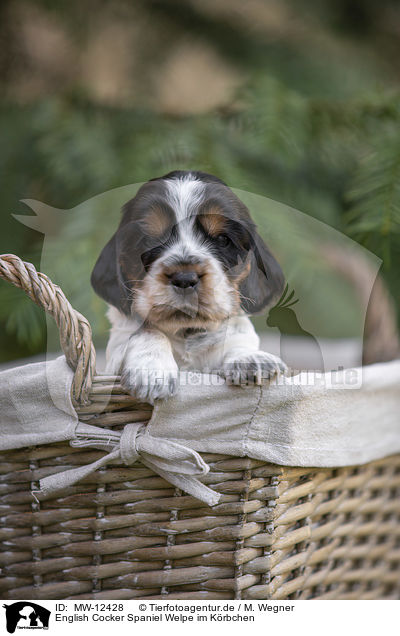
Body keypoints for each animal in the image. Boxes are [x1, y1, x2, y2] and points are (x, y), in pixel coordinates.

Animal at [92, 170, 286, 402]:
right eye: (148, 241)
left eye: (223, 239)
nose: (184, 278)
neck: (186, 331)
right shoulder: (115, 352)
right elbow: (147, 331)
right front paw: (152, 370)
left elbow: (236, 338)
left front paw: (250, 358)